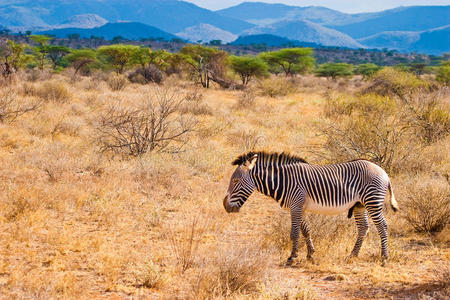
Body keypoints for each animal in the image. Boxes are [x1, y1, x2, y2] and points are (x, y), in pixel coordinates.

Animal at [223, 151, 400, 266]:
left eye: (236, 181)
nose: (225, 206)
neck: (283, 182)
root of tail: (383, 172)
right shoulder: (300, 207)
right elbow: (306, 230)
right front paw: (310, 255)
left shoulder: (296, 205)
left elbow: (294, 232)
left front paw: (292, 257)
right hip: (359, 205)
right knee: (363, 227)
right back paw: (352, 255)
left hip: (372, 201)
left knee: (382, 226)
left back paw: (384, 257)